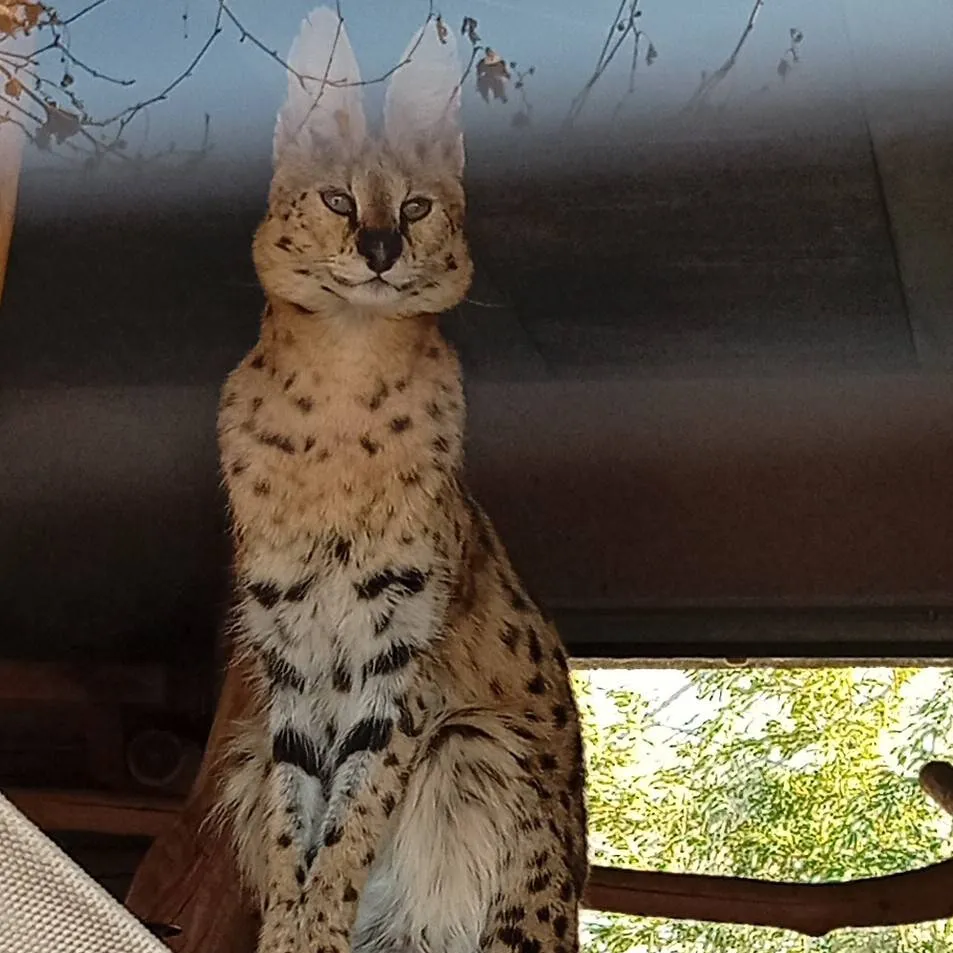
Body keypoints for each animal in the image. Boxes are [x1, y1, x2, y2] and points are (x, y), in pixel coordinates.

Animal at [216, 9, 588, 953]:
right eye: (339, 201)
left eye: (415, 206)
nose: (381, 250)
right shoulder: (289, 655)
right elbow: (295, 815)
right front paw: (289, 930)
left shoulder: (400, 657)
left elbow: (356, 811)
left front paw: (318, 927)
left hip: (480, 748)